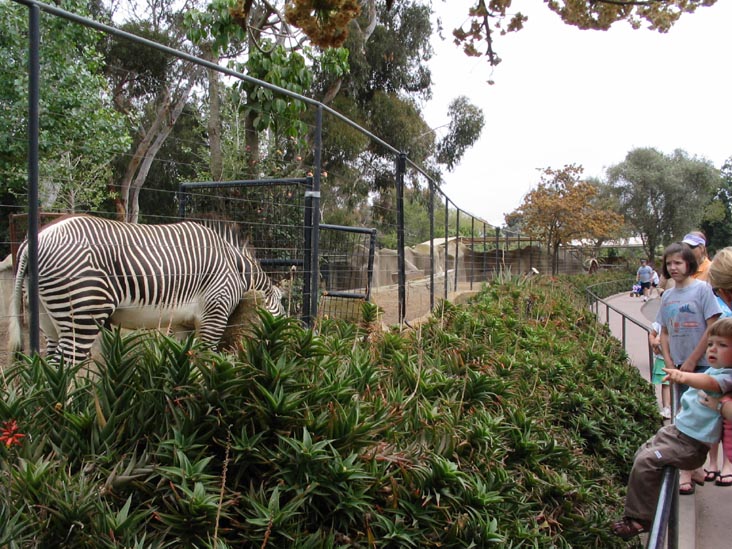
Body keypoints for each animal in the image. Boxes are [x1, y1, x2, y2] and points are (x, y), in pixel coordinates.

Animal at [9, 215, 284, 363]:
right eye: (283, 308)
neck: (235, 266)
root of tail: (32, 243)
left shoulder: (182, 324)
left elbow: (185, 361)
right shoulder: (214, 313)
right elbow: (206, 360)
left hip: (47, 319)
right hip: (83, 313)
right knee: (63, 367)